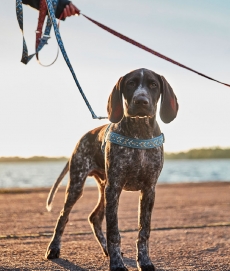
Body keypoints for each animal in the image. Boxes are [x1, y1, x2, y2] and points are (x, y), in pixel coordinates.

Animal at [44, 68, 178, 271]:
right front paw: (116, 264)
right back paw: (54, 248)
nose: (141, 101)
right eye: (131, 83)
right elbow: (114, 232)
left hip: (103, 188)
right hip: (78, 185)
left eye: (153, 85)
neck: (139, 132)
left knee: (94, 217)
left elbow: (144, 231)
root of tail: (82, 137)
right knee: (63, 217)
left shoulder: (148, 190)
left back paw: (106, 249)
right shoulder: (114, 187)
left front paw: (144, 261)